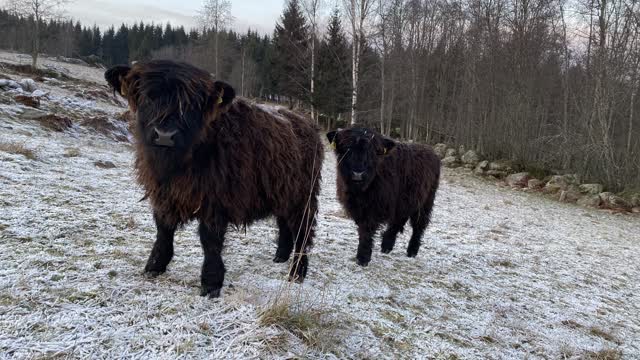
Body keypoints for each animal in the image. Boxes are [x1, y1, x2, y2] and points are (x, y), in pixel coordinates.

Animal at [108, 60, 324, 296]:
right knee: (284, 223)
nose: (165, 135)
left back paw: (297, 272)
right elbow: (163, 230)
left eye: (192, 105)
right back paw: (280, 257)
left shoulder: (216, 199)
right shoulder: (163, 193)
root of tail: (306, 121)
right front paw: (154, 265)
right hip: (282, 190)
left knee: (303, 231)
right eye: (148, 97)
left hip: (303, 196)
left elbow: (209, 239)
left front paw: (211, 283)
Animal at [328, 128, 438, 266]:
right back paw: (386, 245)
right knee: (398, 221)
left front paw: (362, 258)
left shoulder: (375, 207)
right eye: (347, 148)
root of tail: (429, 149)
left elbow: (366, 230)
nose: (358, 174)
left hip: (425, 201)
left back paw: (412, 251)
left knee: (418, 225)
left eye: (372, 152)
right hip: (405, 201)